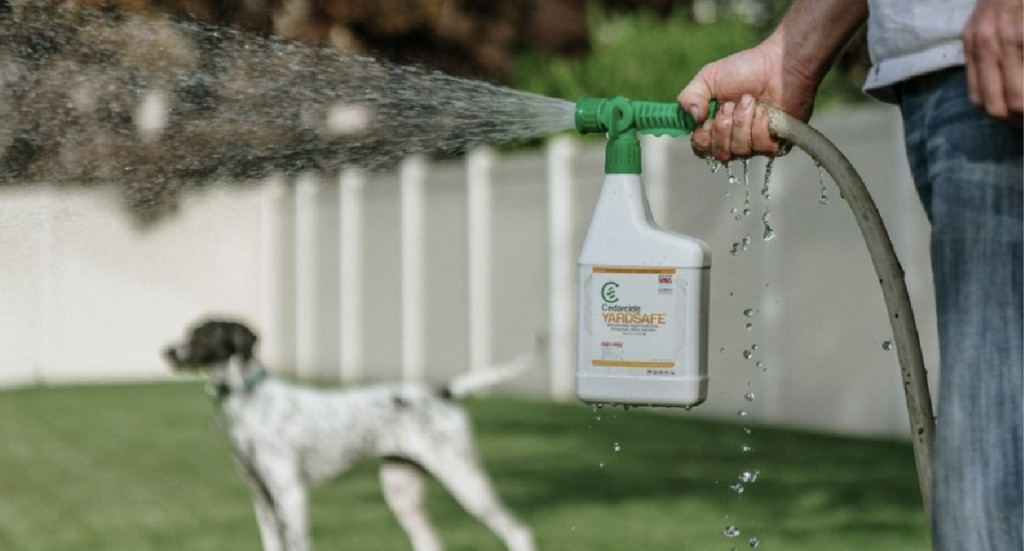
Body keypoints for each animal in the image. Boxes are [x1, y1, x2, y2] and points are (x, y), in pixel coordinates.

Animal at [161, 317, 536, 548]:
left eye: (205, 335)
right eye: (189, 331)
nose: (167, 351)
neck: (252, 401)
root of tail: (442, 392)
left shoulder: (290, 494)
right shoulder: (262, 500)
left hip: (467, 483)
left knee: (519, 533)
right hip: (403, 494)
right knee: (430, 542)